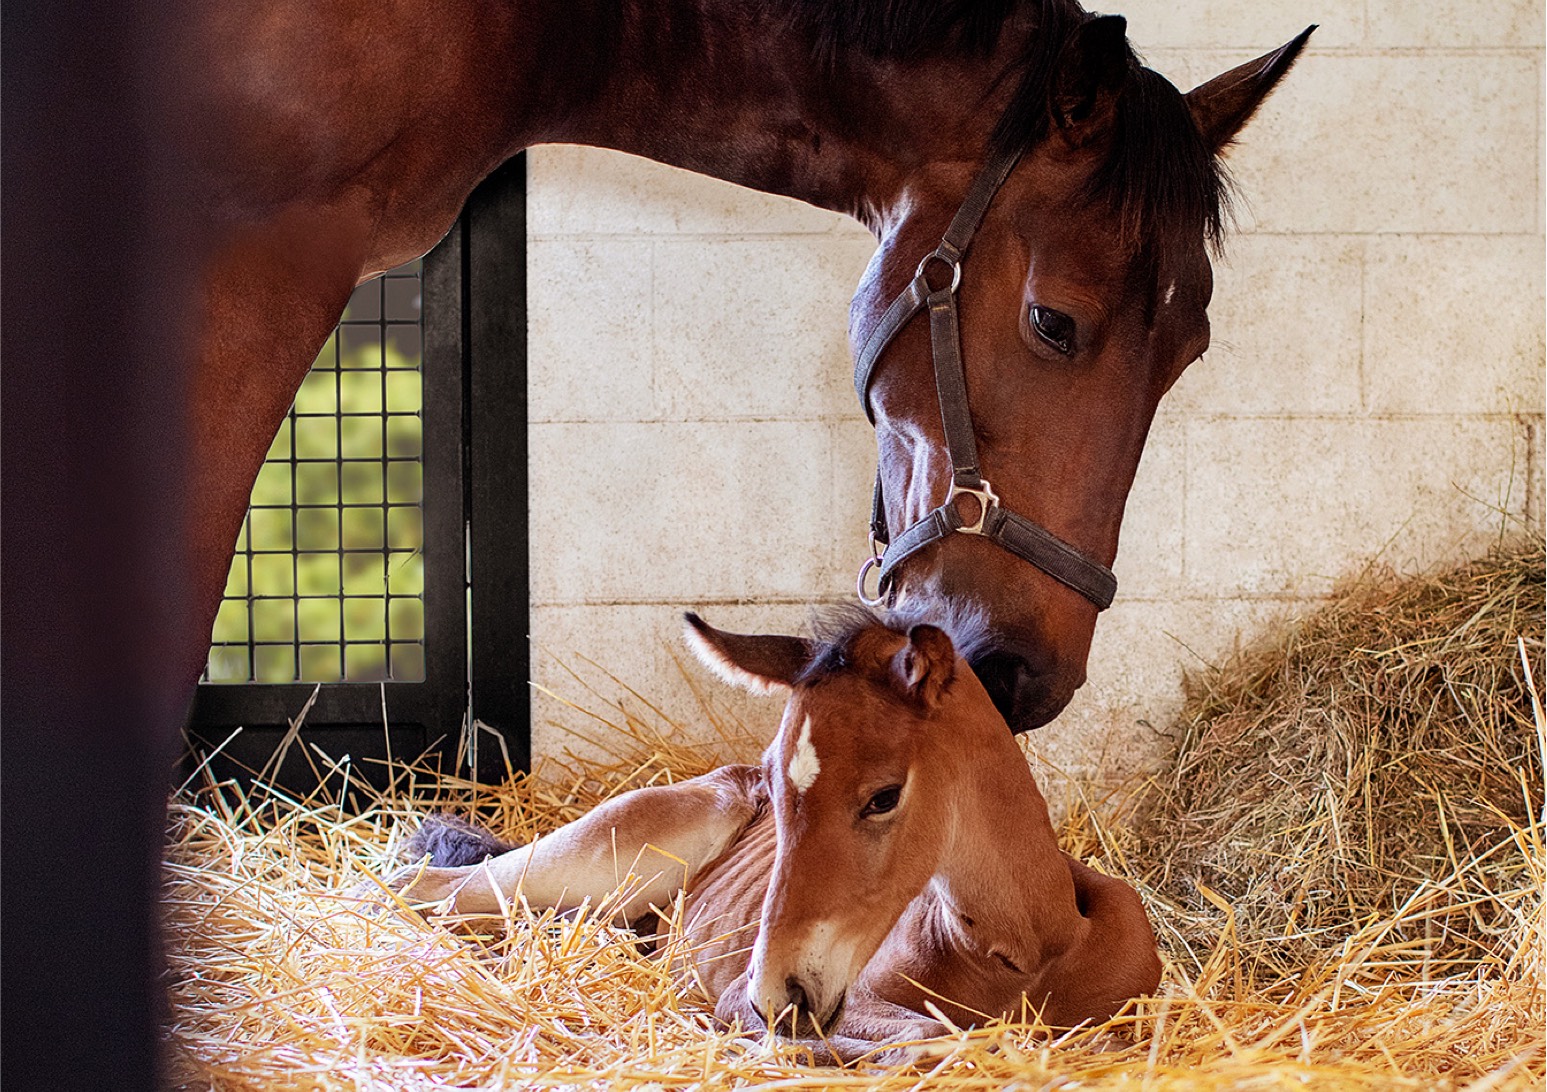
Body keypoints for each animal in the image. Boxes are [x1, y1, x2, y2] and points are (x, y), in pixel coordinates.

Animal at [383, 603, 1163, 1051]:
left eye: (884, 796)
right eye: (781, 787)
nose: (778, 994)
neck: (1025, 950)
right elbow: (946, 1042)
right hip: (604, 857)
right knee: (424, 886)